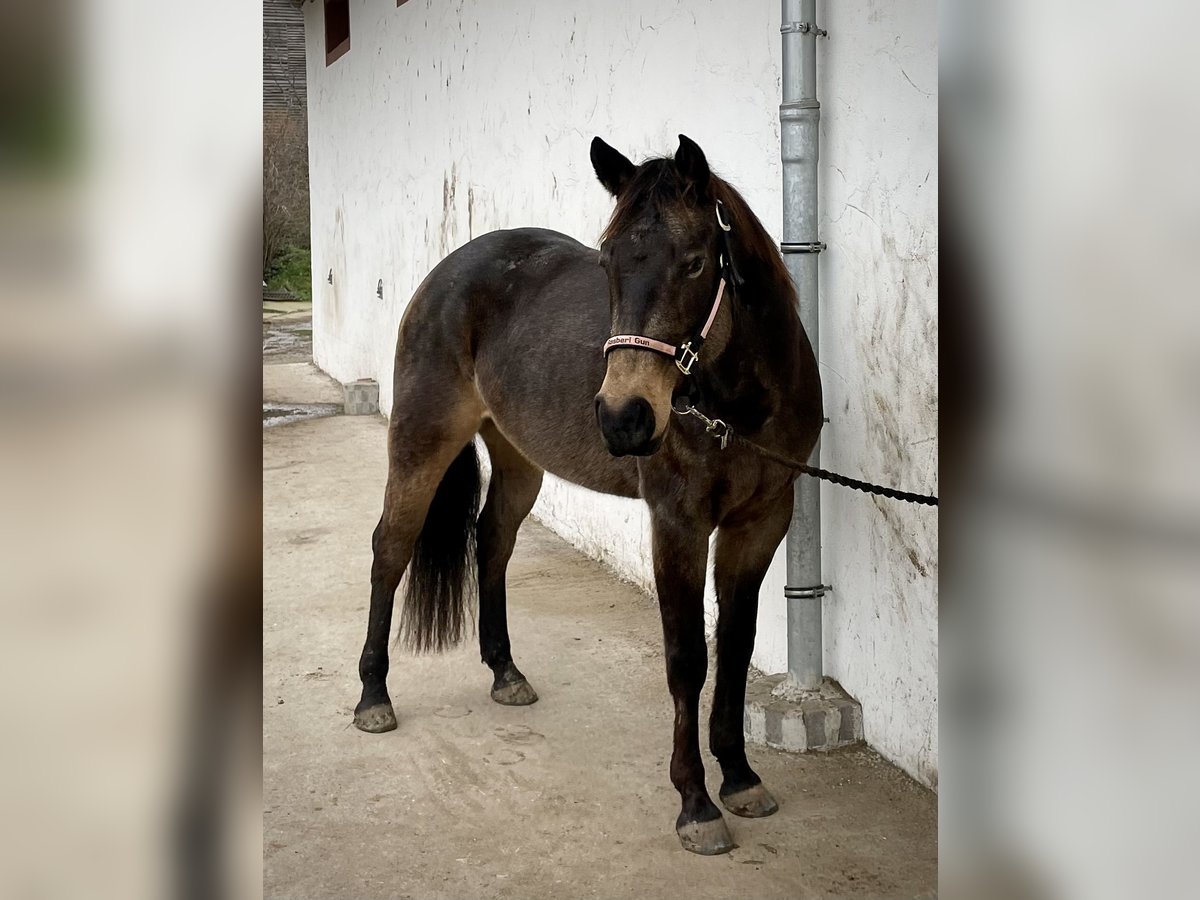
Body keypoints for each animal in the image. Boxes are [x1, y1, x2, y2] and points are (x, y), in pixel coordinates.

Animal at [352, 134, 823, 855]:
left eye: (695, 263)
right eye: (607, 262)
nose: (623, 418)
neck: (736, 409)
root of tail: (448, 271)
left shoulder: (763, 521)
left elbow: (736, 649)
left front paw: (740, 777)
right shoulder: (678, 524)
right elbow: (687, 660)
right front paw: (696, 804)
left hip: (518, 457)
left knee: (492, 542)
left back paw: (505, 672)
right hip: (421, 439)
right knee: (392, 549)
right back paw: (374, 696)